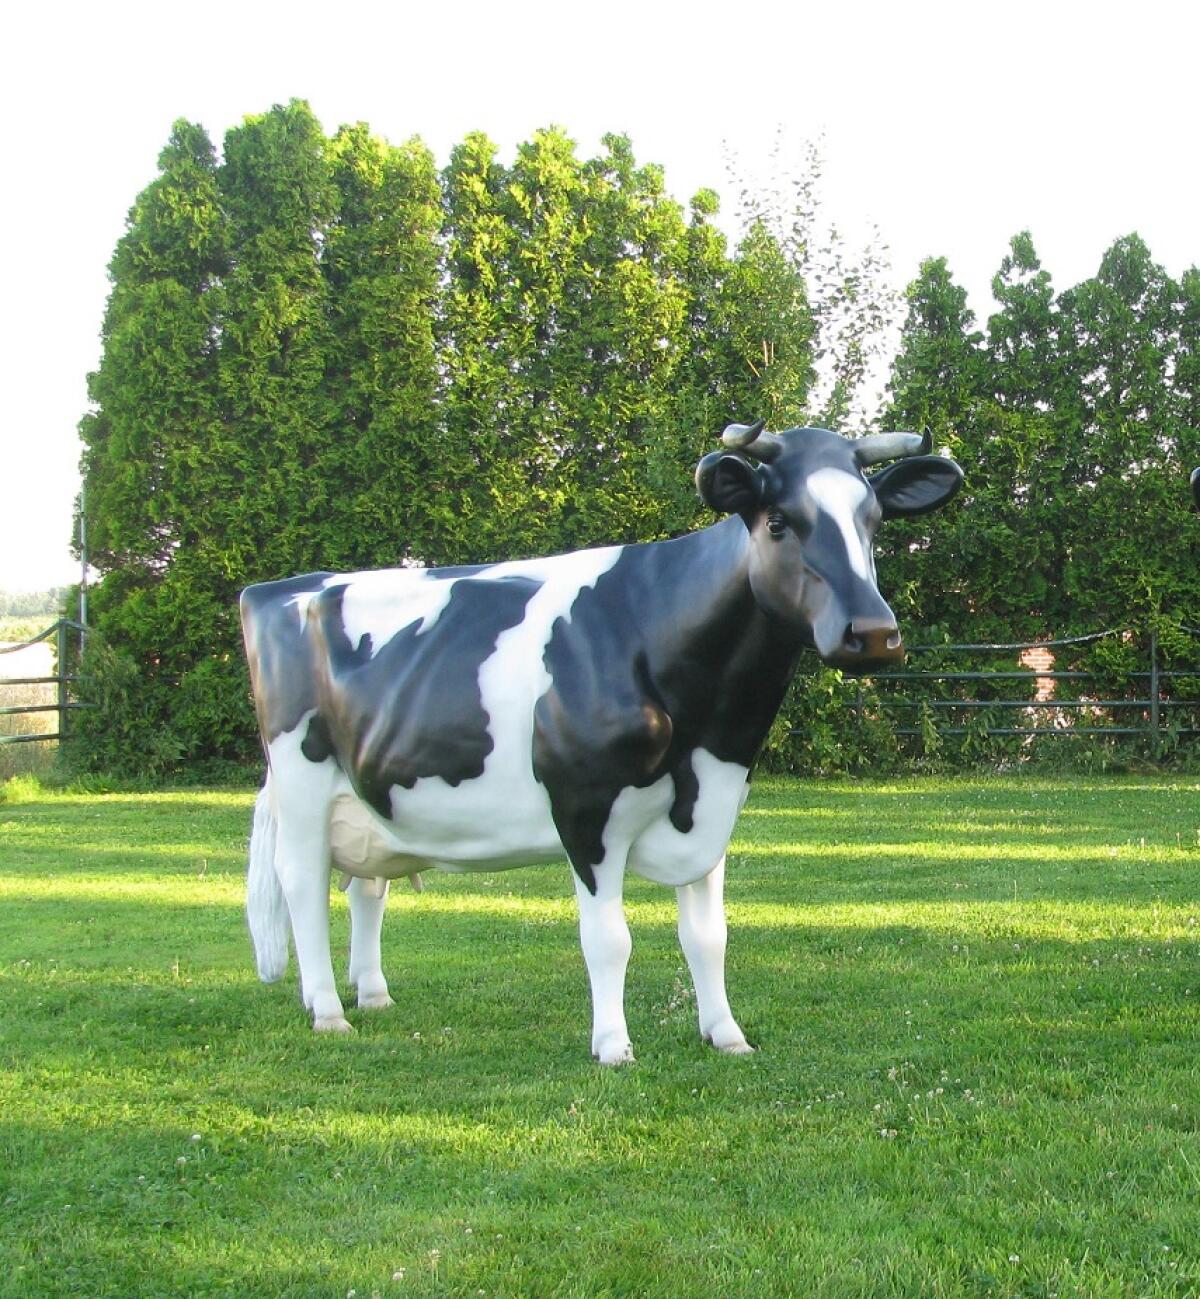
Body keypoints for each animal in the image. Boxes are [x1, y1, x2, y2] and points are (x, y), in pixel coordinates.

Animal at [240, 420, 963, 1063]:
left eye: (873, 520)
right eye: (779, 520)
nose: (874, 632)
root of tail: (278, 587)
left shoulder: (714, 806)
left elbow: (709, 936)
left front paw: (726, 1034)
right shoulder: (585, 810)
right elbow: (609, 939)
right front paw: (614, 1046)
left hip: (370, 795)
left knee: (366, 888)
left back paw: (373, 994)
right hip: (302, 784)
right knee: (304, 884)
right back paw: (328, 1009)